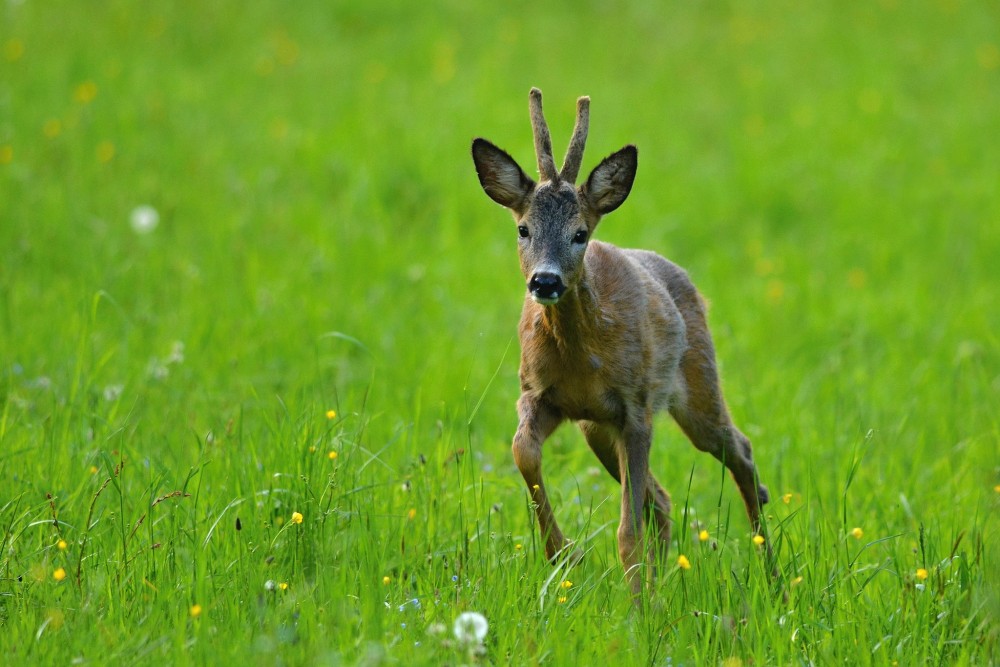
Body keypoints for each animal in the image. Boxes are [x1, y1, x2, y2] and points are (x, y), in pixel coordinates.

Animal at [470, 88, 772, 596]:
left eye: (580, 234)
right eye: (523, 229)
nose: (545, 281)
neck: (579, 358)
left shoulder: (635, 408)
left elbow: (628, 529)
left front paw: (638, 602)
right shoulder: (539, 395)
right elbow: (522, 451)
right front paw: (563, 554)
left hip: (696, 387)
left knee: (739, 450)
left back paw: (770, 570)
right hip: (597, 429)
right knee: (662, 497)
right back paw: (665, 578)